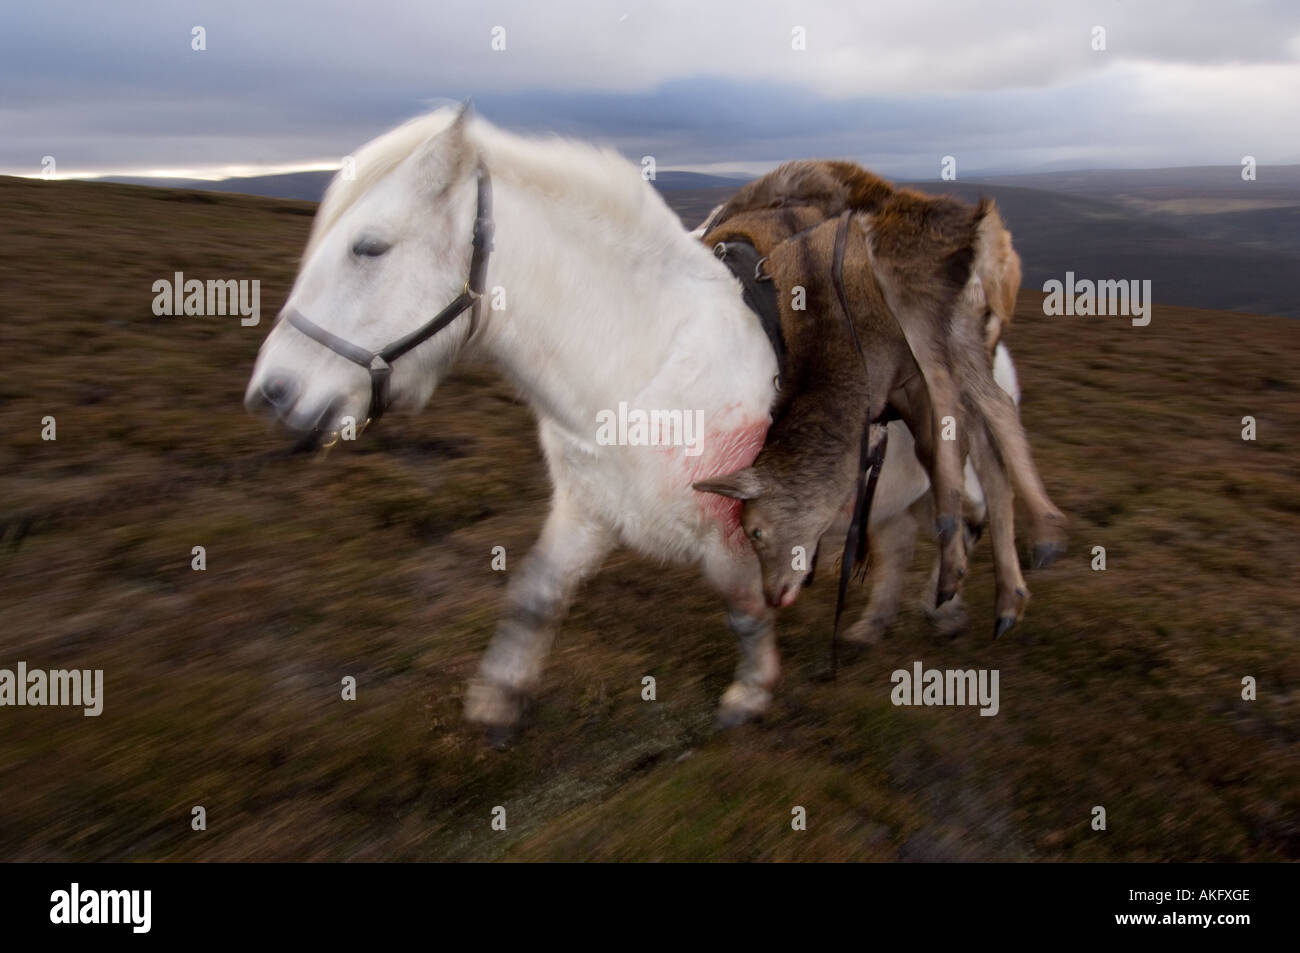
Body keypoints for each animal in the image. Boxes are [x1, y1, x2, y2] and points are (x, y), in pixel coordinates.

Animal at [245, 105, 1013, 728]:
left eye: (369, 246)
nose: (272, 394)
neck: (645, 359)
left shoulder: (736, 529)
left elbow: (745, 611)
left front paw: (750, 694)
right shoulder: (586, 510)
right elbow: (535, 595)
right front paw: (499, 697)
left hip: (952, 463)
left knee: (967, 519)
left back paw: (949, 608)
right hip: (884, 493)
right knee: (900, 538)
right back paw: (872, 624)